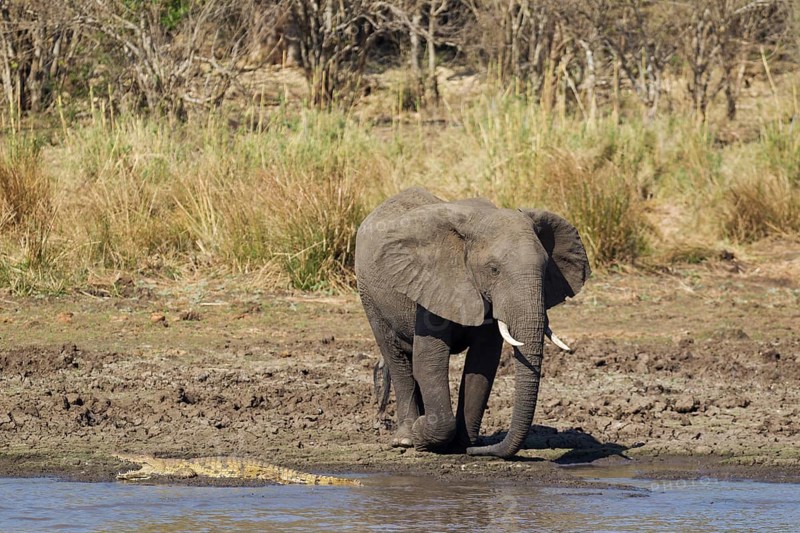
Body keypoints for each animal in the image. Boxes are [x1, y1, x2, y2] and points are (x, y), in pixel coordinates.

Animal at [355, 188, 591, 459]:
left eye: (545, 269)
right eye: (494, 269)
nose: (481, 449)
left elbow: (483, 363)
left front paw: (463, 445)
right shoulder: (433, 281)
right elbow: (430, 359)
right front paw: (424, 436)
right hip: (369, 295)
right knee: (396, 358)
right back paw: (405, 438)